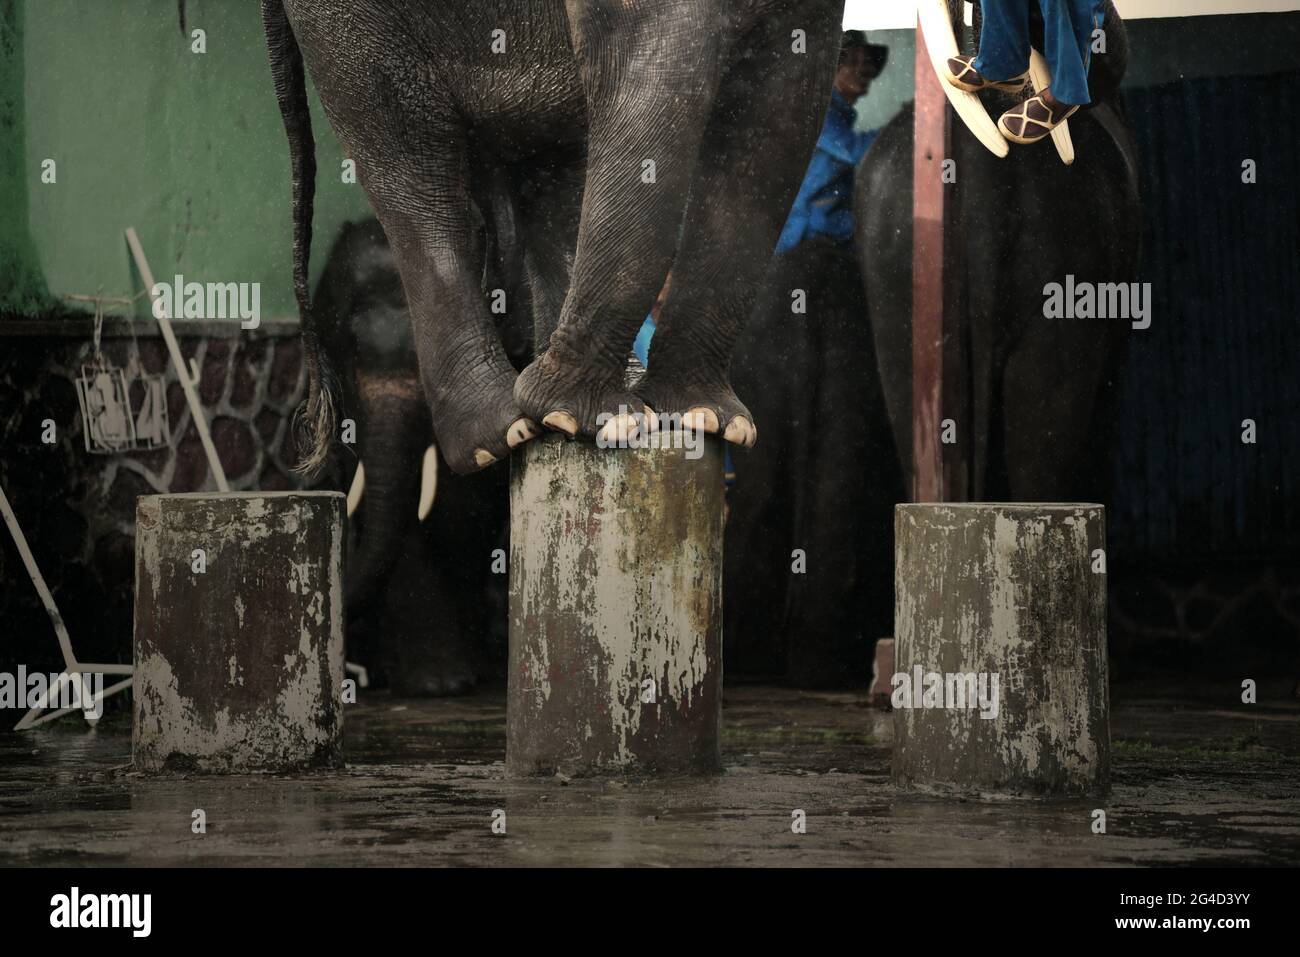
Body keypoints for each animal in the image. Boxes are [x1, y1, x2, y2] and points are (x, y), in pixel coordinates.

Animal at [263, 0, 847, 478]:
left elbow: (780, 118)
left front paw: (706, 421)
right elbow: (649, 80)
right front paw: (603, 423)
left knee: (552, 162)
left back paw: (573, 408)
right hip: (349, 25)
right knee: (415, 169)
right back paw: (508, 434)